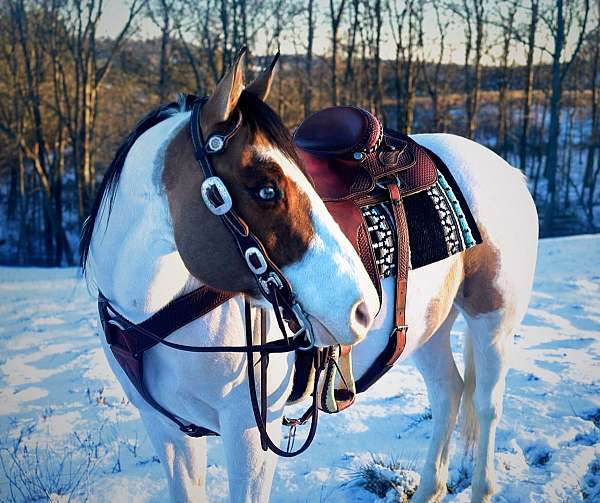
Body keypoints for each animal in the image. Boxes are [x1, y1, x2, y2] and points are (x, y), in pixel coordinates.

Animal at [82, 49, 536, 502]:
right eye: (266, 190)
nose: (364, 309)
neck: (155, 313)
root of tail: (505, 169)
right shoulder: (167, 432)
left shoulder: (250, 432)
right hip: (426, 327)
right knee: (448, 393)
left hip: (493, 321)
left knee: (486, 405)